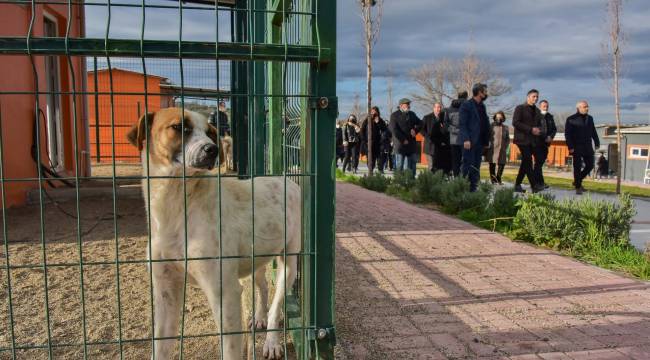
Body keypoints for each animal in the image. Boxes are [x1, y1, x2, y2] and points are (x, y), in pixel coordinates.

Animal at [128, 107, 302, 360]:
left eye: (211, 132)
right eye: (179, 127)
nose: (213, 149)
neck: (178, 205)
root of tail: (285, 179)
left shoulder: (225, 294)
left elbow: (230, 350)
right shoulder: (165, 292)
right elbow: (160, 347)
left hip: (288, 263)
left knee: (277, 303)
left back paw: (272, 342)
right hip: (256, 260)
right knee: (262, 287)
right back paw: (259, 317)